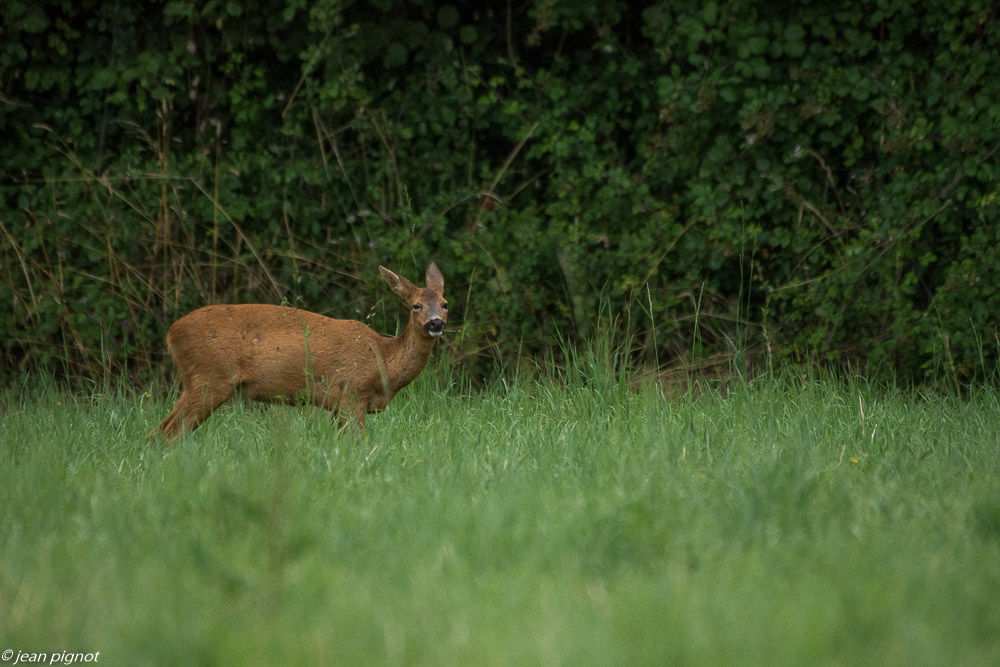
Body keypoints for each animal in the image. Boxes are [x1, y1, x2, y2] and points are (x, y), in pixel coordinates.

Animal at [150, 264, 448, 440]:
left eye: (445, 303)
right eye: (416, 306)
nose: (436, 323)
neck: (382, 359)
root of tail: (171, 333)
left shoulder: (338, 406)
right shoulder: (349, 392)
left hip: (196, 382)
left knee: (160, 430)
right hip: (210, 378)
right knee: (170, 432)